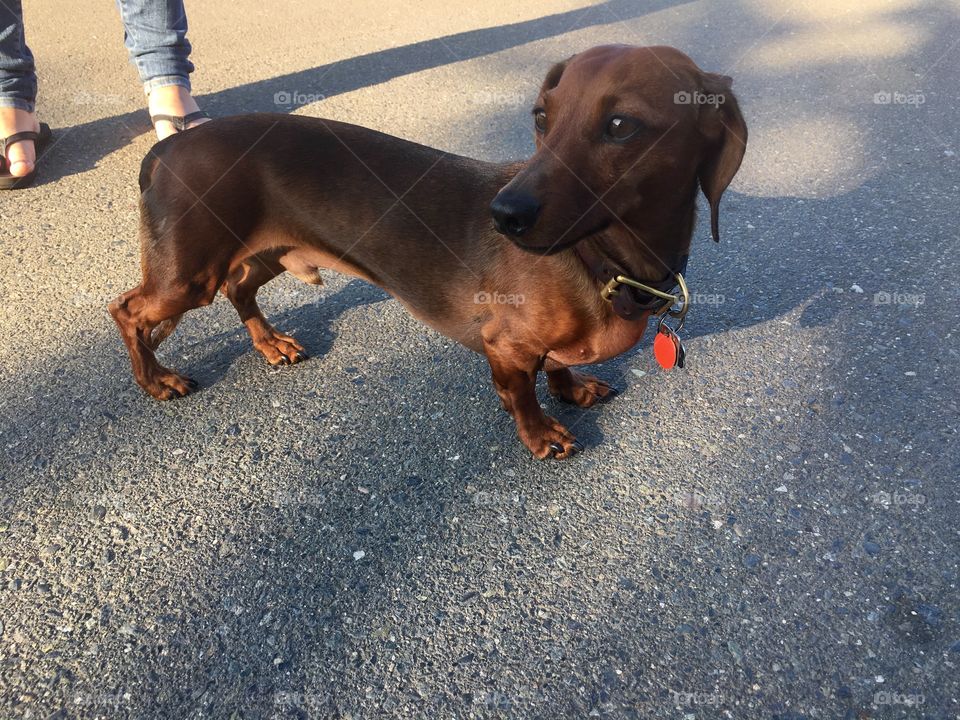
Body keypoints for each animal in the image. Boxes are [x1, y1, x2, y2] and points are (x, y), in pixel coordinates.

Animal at [109, 45, 748, 458]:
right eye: (542, 118)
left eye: (620, 125)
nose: (503, 214)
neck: (598, 260)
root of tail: (164, 151)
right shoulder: (505, 345)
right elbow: (521, 392)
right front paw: (540, 433)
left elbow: (558, 365)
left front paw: (572, 389)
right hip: (187, 276)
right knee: (128, 311)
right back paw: (155, 380)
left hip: (266, 250)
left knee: (239, 287)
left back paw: (270, 345)